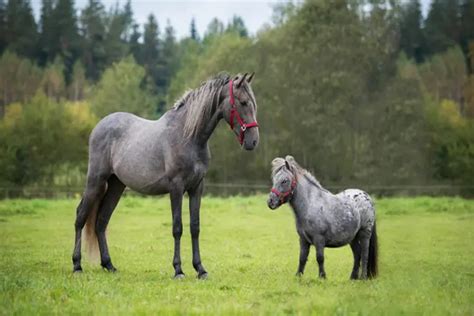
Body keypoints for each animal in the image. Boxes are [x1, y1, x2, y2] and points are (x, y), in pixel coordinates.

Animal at [72, 72, 260, 278]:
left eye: (253, 103)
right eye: (243, 102)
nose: (253, 141)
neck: (188, 136)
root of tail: (99, 126)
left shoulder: (197, 187)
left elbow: (195, 227)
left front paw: (200, 269)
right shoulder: (176, 188)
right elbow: (177, 227)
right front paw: (178, 269)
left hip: (116, 185)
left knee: (101, 221)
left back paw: (109, 265)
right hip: (96, 181)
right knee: (81, 216)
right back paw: (77, 265)